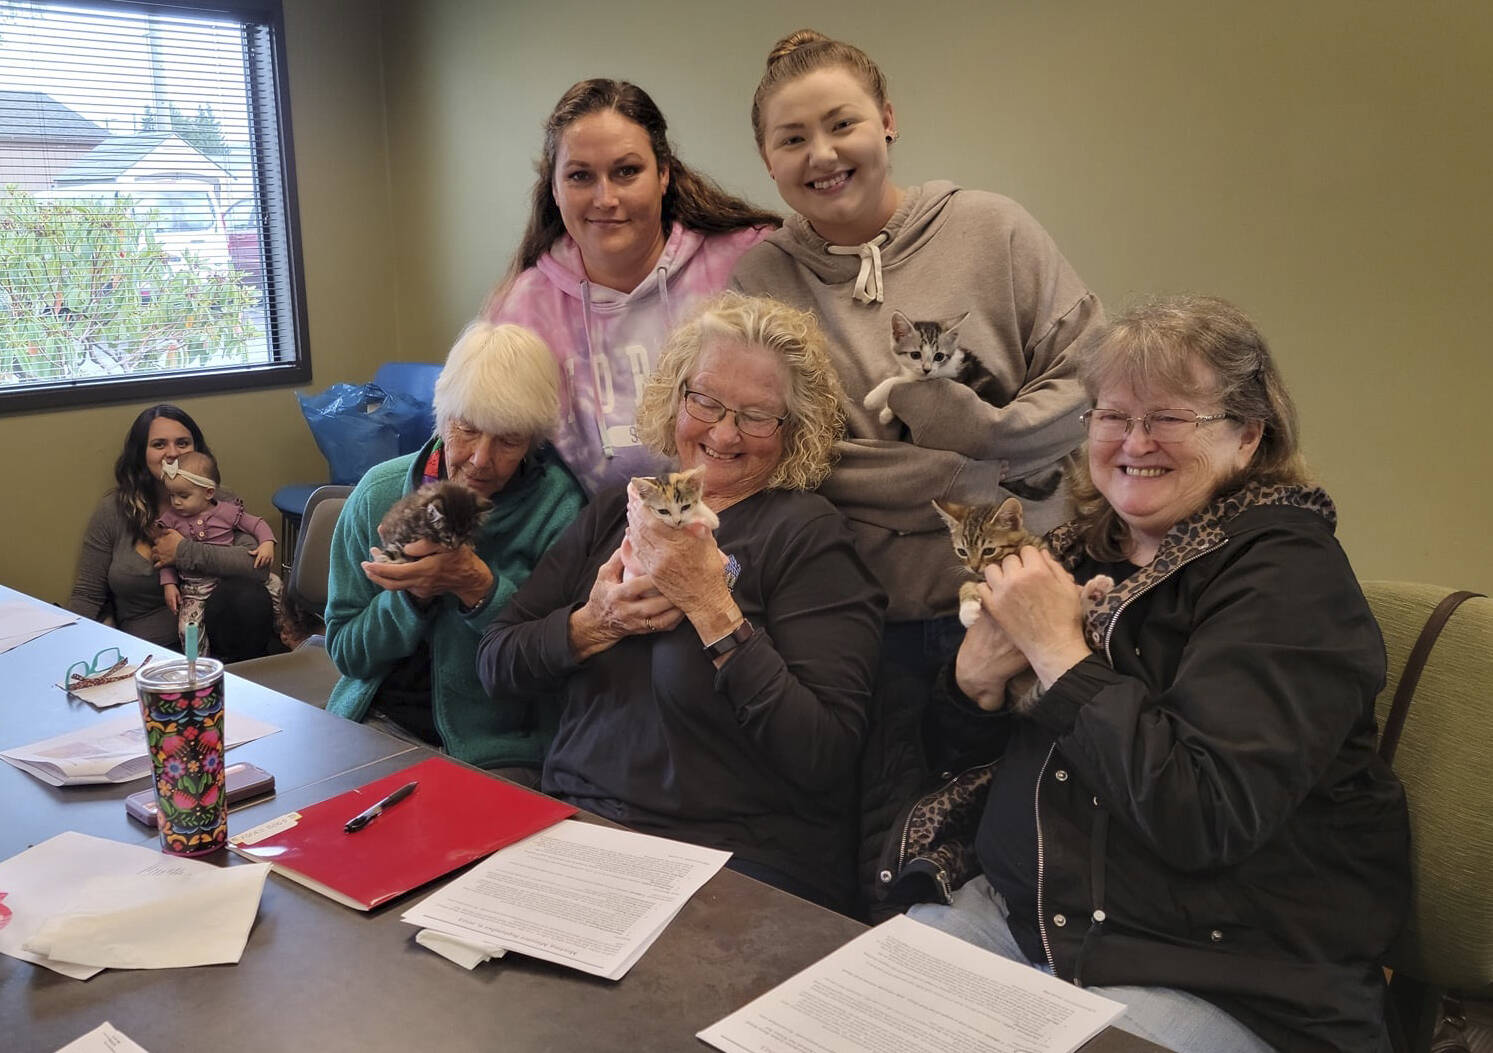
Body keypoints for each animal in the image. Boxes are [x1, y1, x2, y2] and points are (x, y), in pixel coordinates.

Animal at [931, 495, 1110, 710]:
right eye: (962, 551)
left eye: (988, 550)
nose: (974, 567)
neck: (1010, 556)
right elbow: (966, 585)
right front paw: (967, 610)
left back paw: (1094, 589)